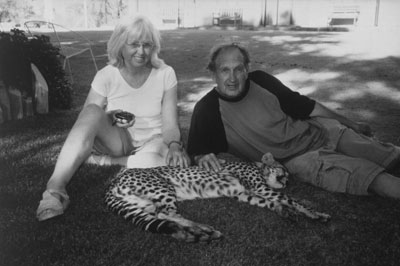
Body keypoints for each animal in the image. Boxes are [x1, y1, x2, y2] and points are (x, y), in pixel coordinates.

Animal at [104, 153, 330, 242]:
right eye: (283, 171)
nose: (287, 181)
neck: (258, 167)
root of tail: (114, 179)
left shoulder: (243, 194)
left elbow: (273, 202)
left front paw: (284, 211)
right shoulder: (259, 187)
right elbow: (291, 199)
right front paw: (316, 213)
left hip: (145, 204)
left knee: (160, 216)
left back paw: (194, 231)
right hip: (163, 187)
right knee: (167, 213)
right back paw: (202, 228)